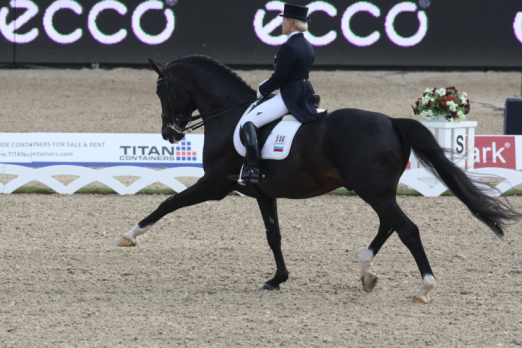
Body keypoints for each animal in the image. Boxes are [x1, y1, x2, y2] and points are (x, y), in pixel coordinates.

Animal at [116, 55, 516, 304]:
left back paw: (423, 288)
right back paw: (366, 273)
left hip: (373, 191)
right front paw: (277, 279)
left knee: (407, 229)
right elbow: (273, 235)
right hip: (375, 191)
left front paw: (129, 235)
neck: (228, 115)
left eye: (161, 90)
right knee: (389, 225)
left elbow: (168, 203)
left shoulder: (215, 186)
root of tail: (390, 121)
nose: (169, 135)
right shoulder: (262, 192)